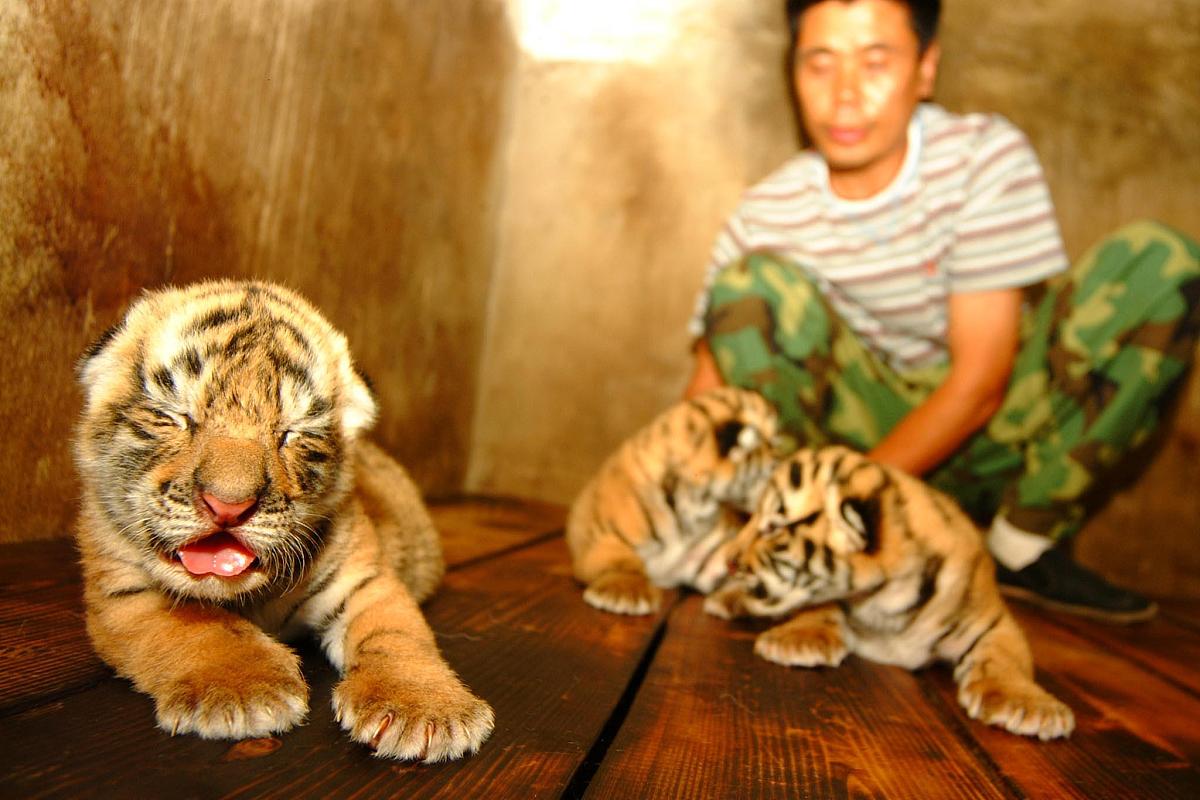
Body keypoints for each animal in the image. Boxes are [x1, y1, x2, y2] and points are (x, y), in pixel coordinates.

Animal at [73, 279, 493, 762]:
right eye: (179, 417)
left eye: (292, 434)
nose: (228, 505)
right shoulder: (123, 593)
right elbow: (199, 625)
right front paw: (243, 689)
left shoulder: (366, 579)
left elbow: (397, 636)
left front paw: (423, 709)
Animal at [566, 387, 782, 615]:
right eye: (774, 455)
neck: (697, 503)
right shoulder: (603, 540)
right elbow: (621, 560)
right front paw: (626, 593)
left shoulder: (712, 556)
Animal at [703, 445, 1075, 740]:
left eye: (774, 528)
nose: (729, 560)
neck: (887, 599)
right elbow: (818, 605)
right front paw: (800, 639)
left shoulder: (992, 619)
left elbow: (1007, 657)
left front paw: (1026, 704)